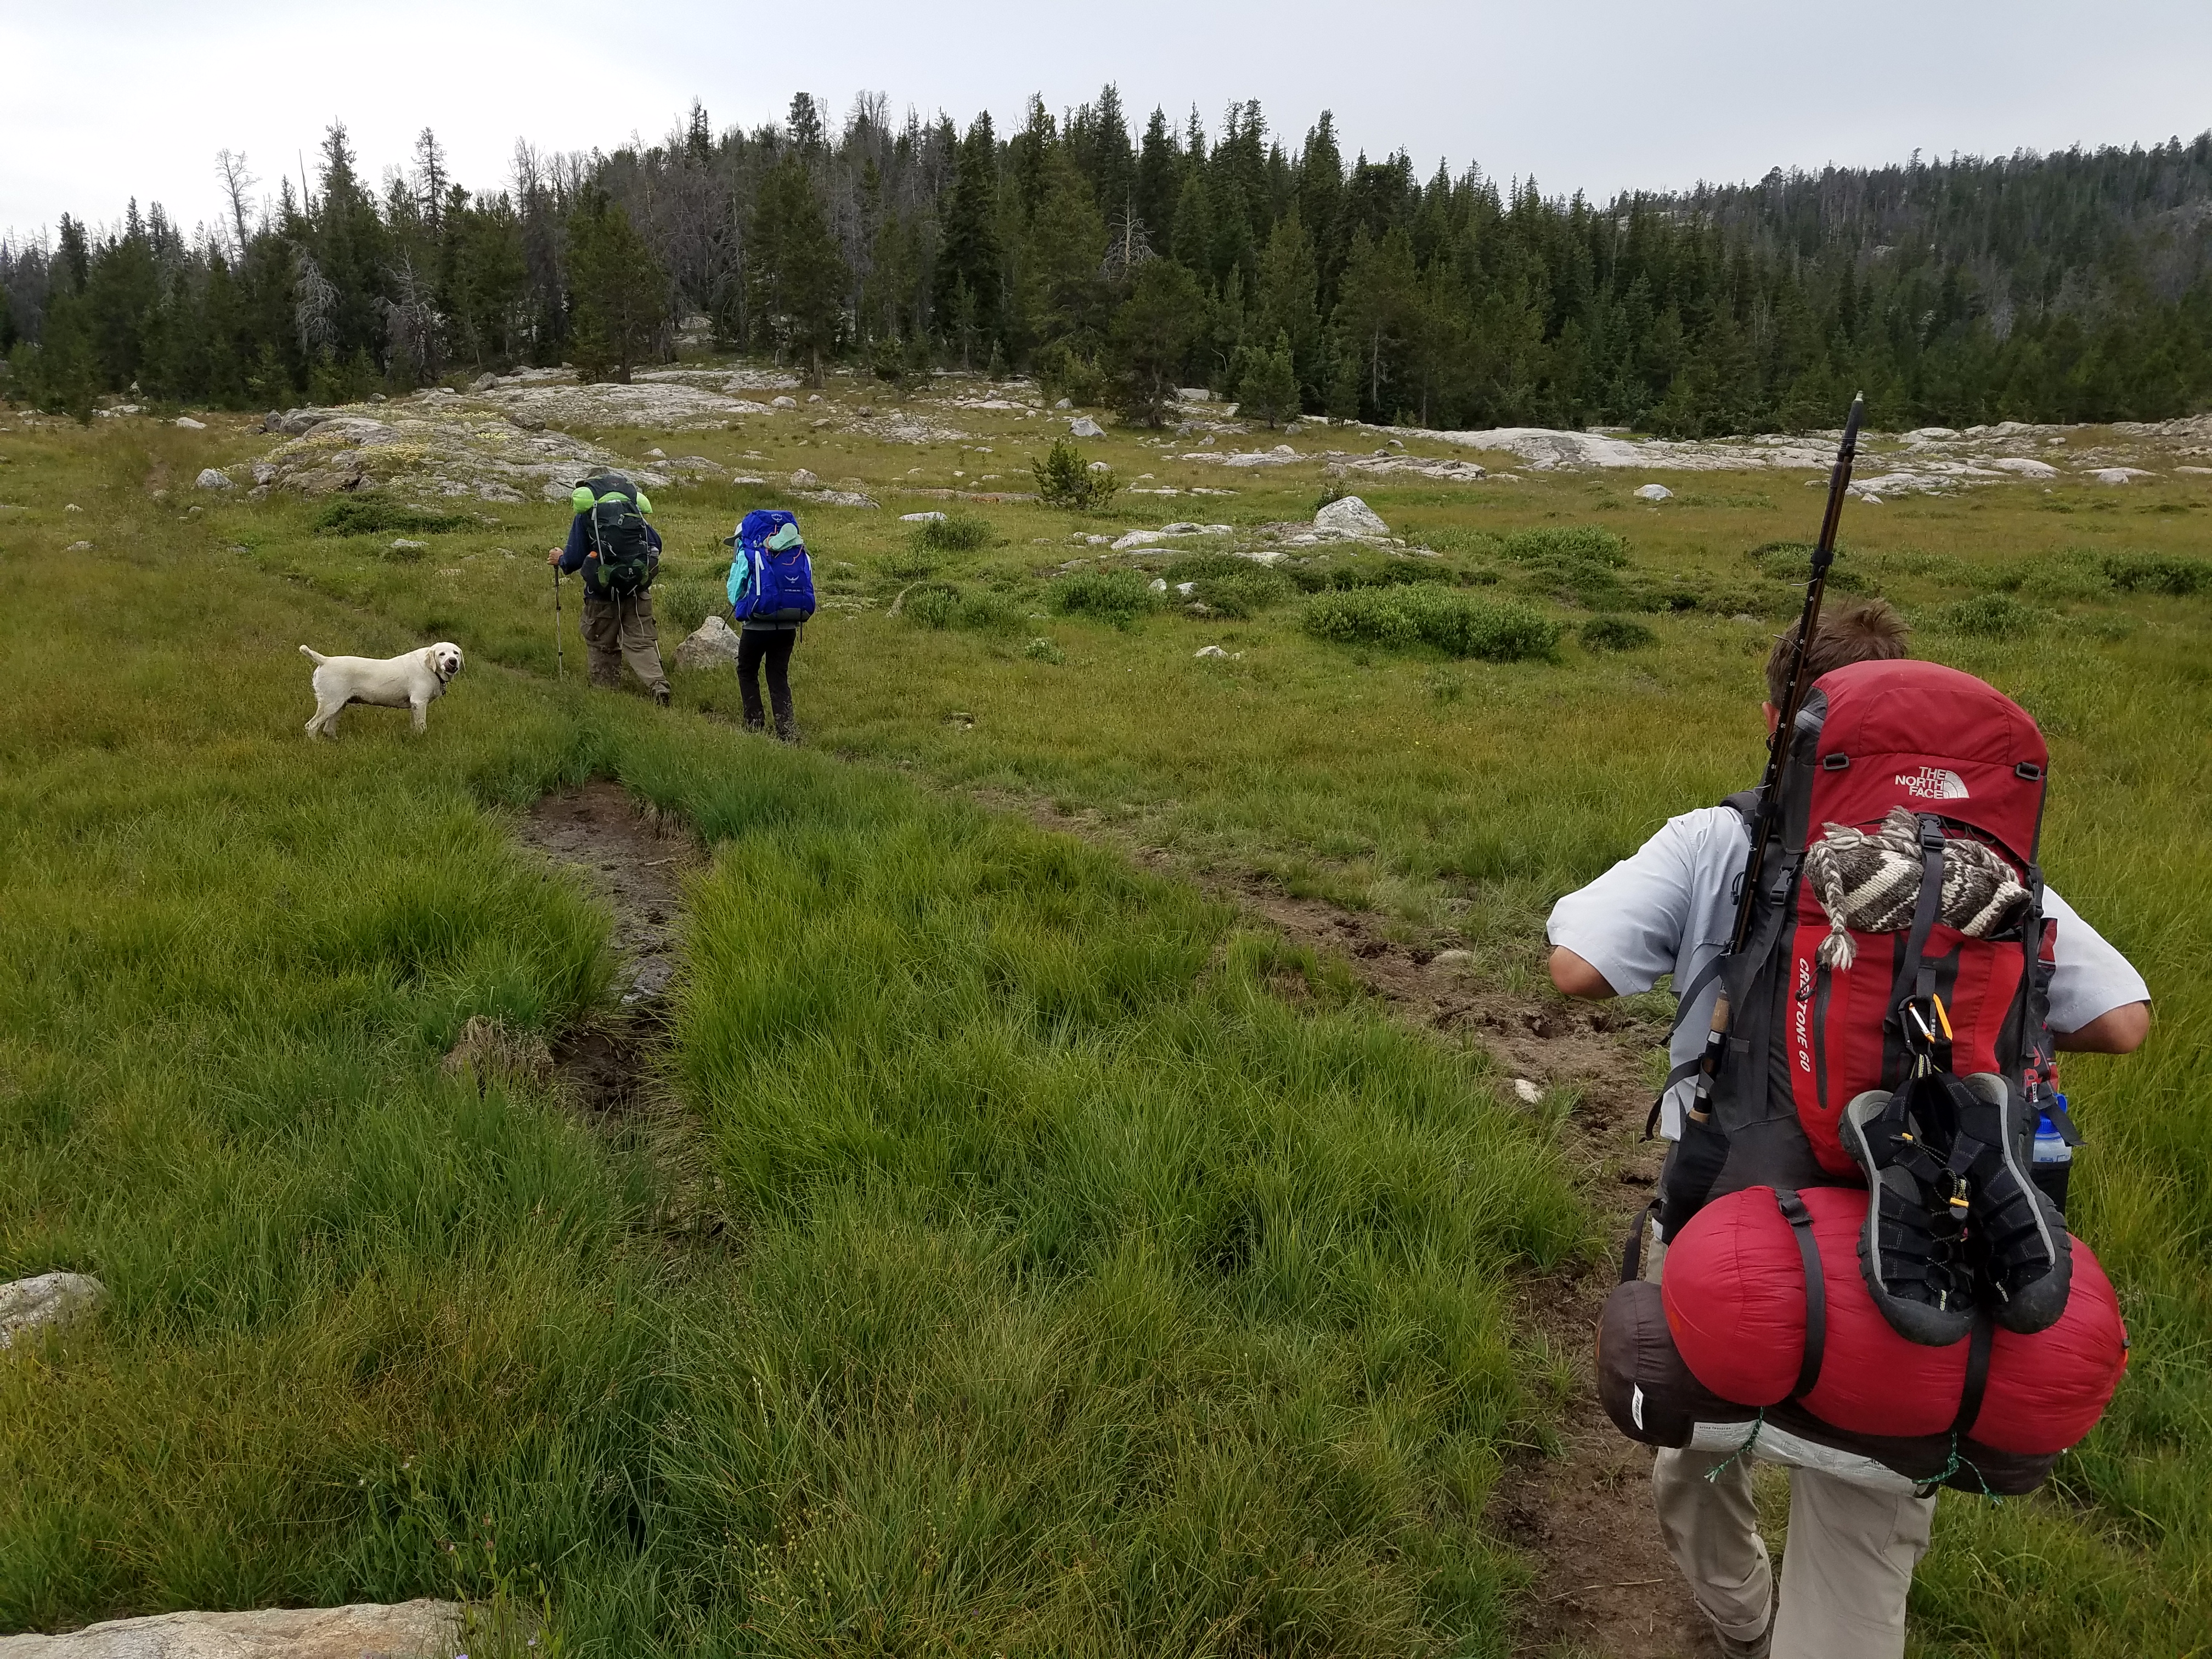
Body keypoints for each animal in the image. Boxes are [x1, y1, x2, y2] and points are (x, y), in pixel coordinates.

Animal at [298, 641, 462, 738]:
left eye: (456, 653)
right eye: (442, 654)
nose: (452, 661)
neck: (429, 666)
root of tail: (325, 660)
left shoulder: (415, 706)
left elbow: (414, 726)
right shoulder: (419, 703)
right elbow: (421, 727)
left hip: (339, 705)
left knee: (328, 729)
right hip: (331, 704)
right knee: (311, 726)